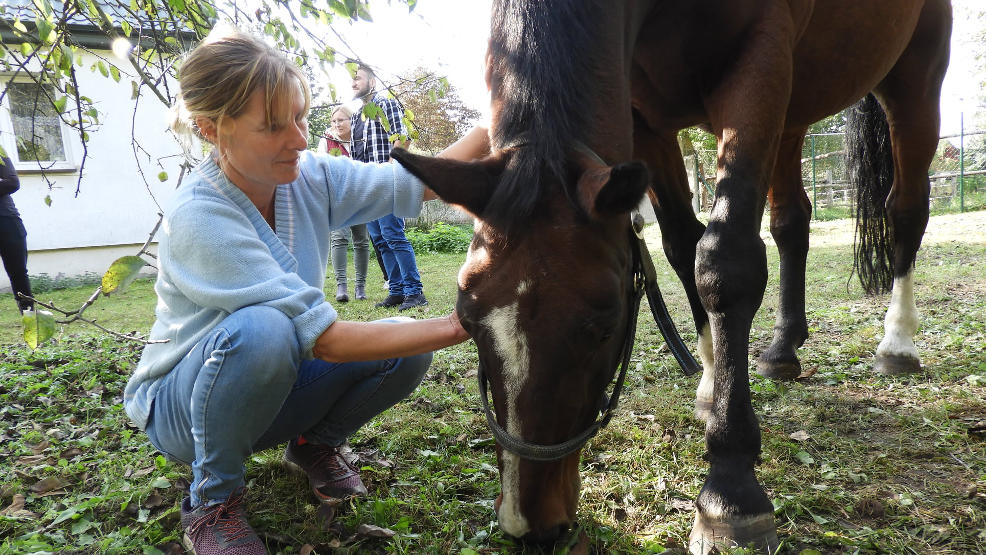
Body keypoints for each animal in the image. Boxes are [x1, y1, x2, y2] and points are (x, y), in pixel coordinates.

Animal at [392, 0, 952, 552]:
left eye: (603, 327)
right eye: (468, 321)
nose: (528, 523)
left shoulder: (760, 58)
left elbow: (724, 260)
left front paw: (731, 487)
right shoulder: (646, 119)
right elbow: (683, 245)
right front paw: (710, 380)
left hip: (913, 80)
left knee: (906, 209)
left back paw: (898, 342)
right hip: (793, 116)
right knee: (791, 223)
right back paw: (781, 348)